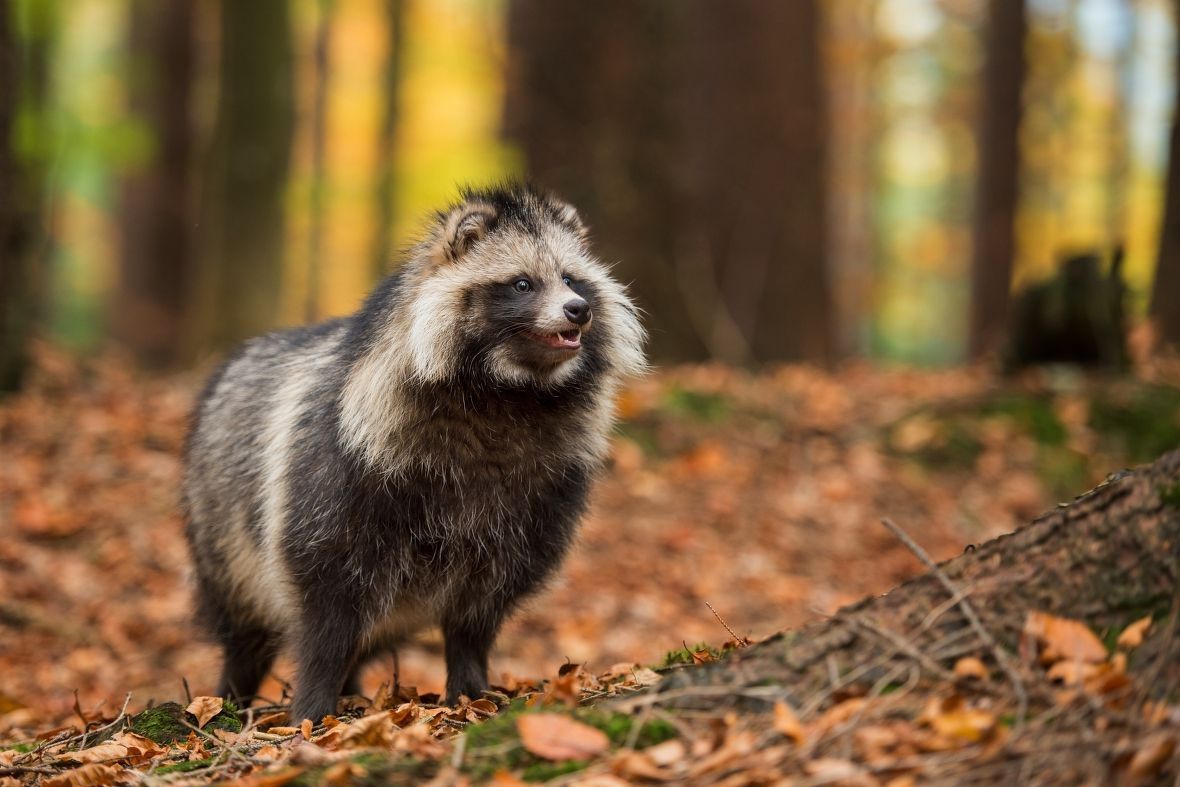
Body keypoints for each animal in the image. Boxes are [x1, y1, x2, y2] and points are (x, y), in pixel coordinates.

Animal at [184, 182, 646, 722]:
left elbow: (480, 608)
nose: (578, 309)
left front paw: (469, 682)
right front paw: (312, 702)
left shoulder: (537, 495)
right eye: (522, 284)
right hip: (223, 535)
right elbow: (325, 602)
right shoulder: (343, 465)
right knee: (245, 623)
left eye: (572, 279)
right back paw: (234, 691)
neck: (508, 394)